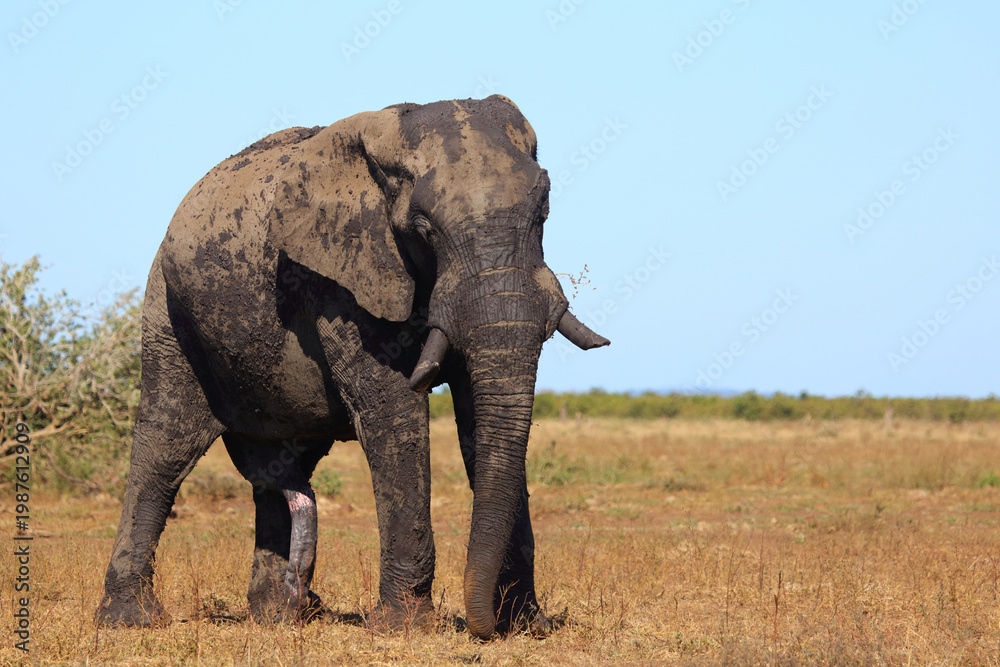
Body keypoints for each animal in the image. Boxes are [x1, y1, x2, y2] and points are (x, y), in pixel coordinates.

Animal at [96, 95, 609, 639]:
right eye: (423, 228)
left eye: (543, 212)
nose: (482, 626)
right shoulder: (339, 281)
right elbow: (393, 414)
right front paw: (404, 627)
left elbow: (480, 418)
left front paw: (527, 625)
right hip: (167, 309)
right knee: (165, 447)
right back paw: (130, 620)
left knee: (279, 472)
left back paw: (278, 613)